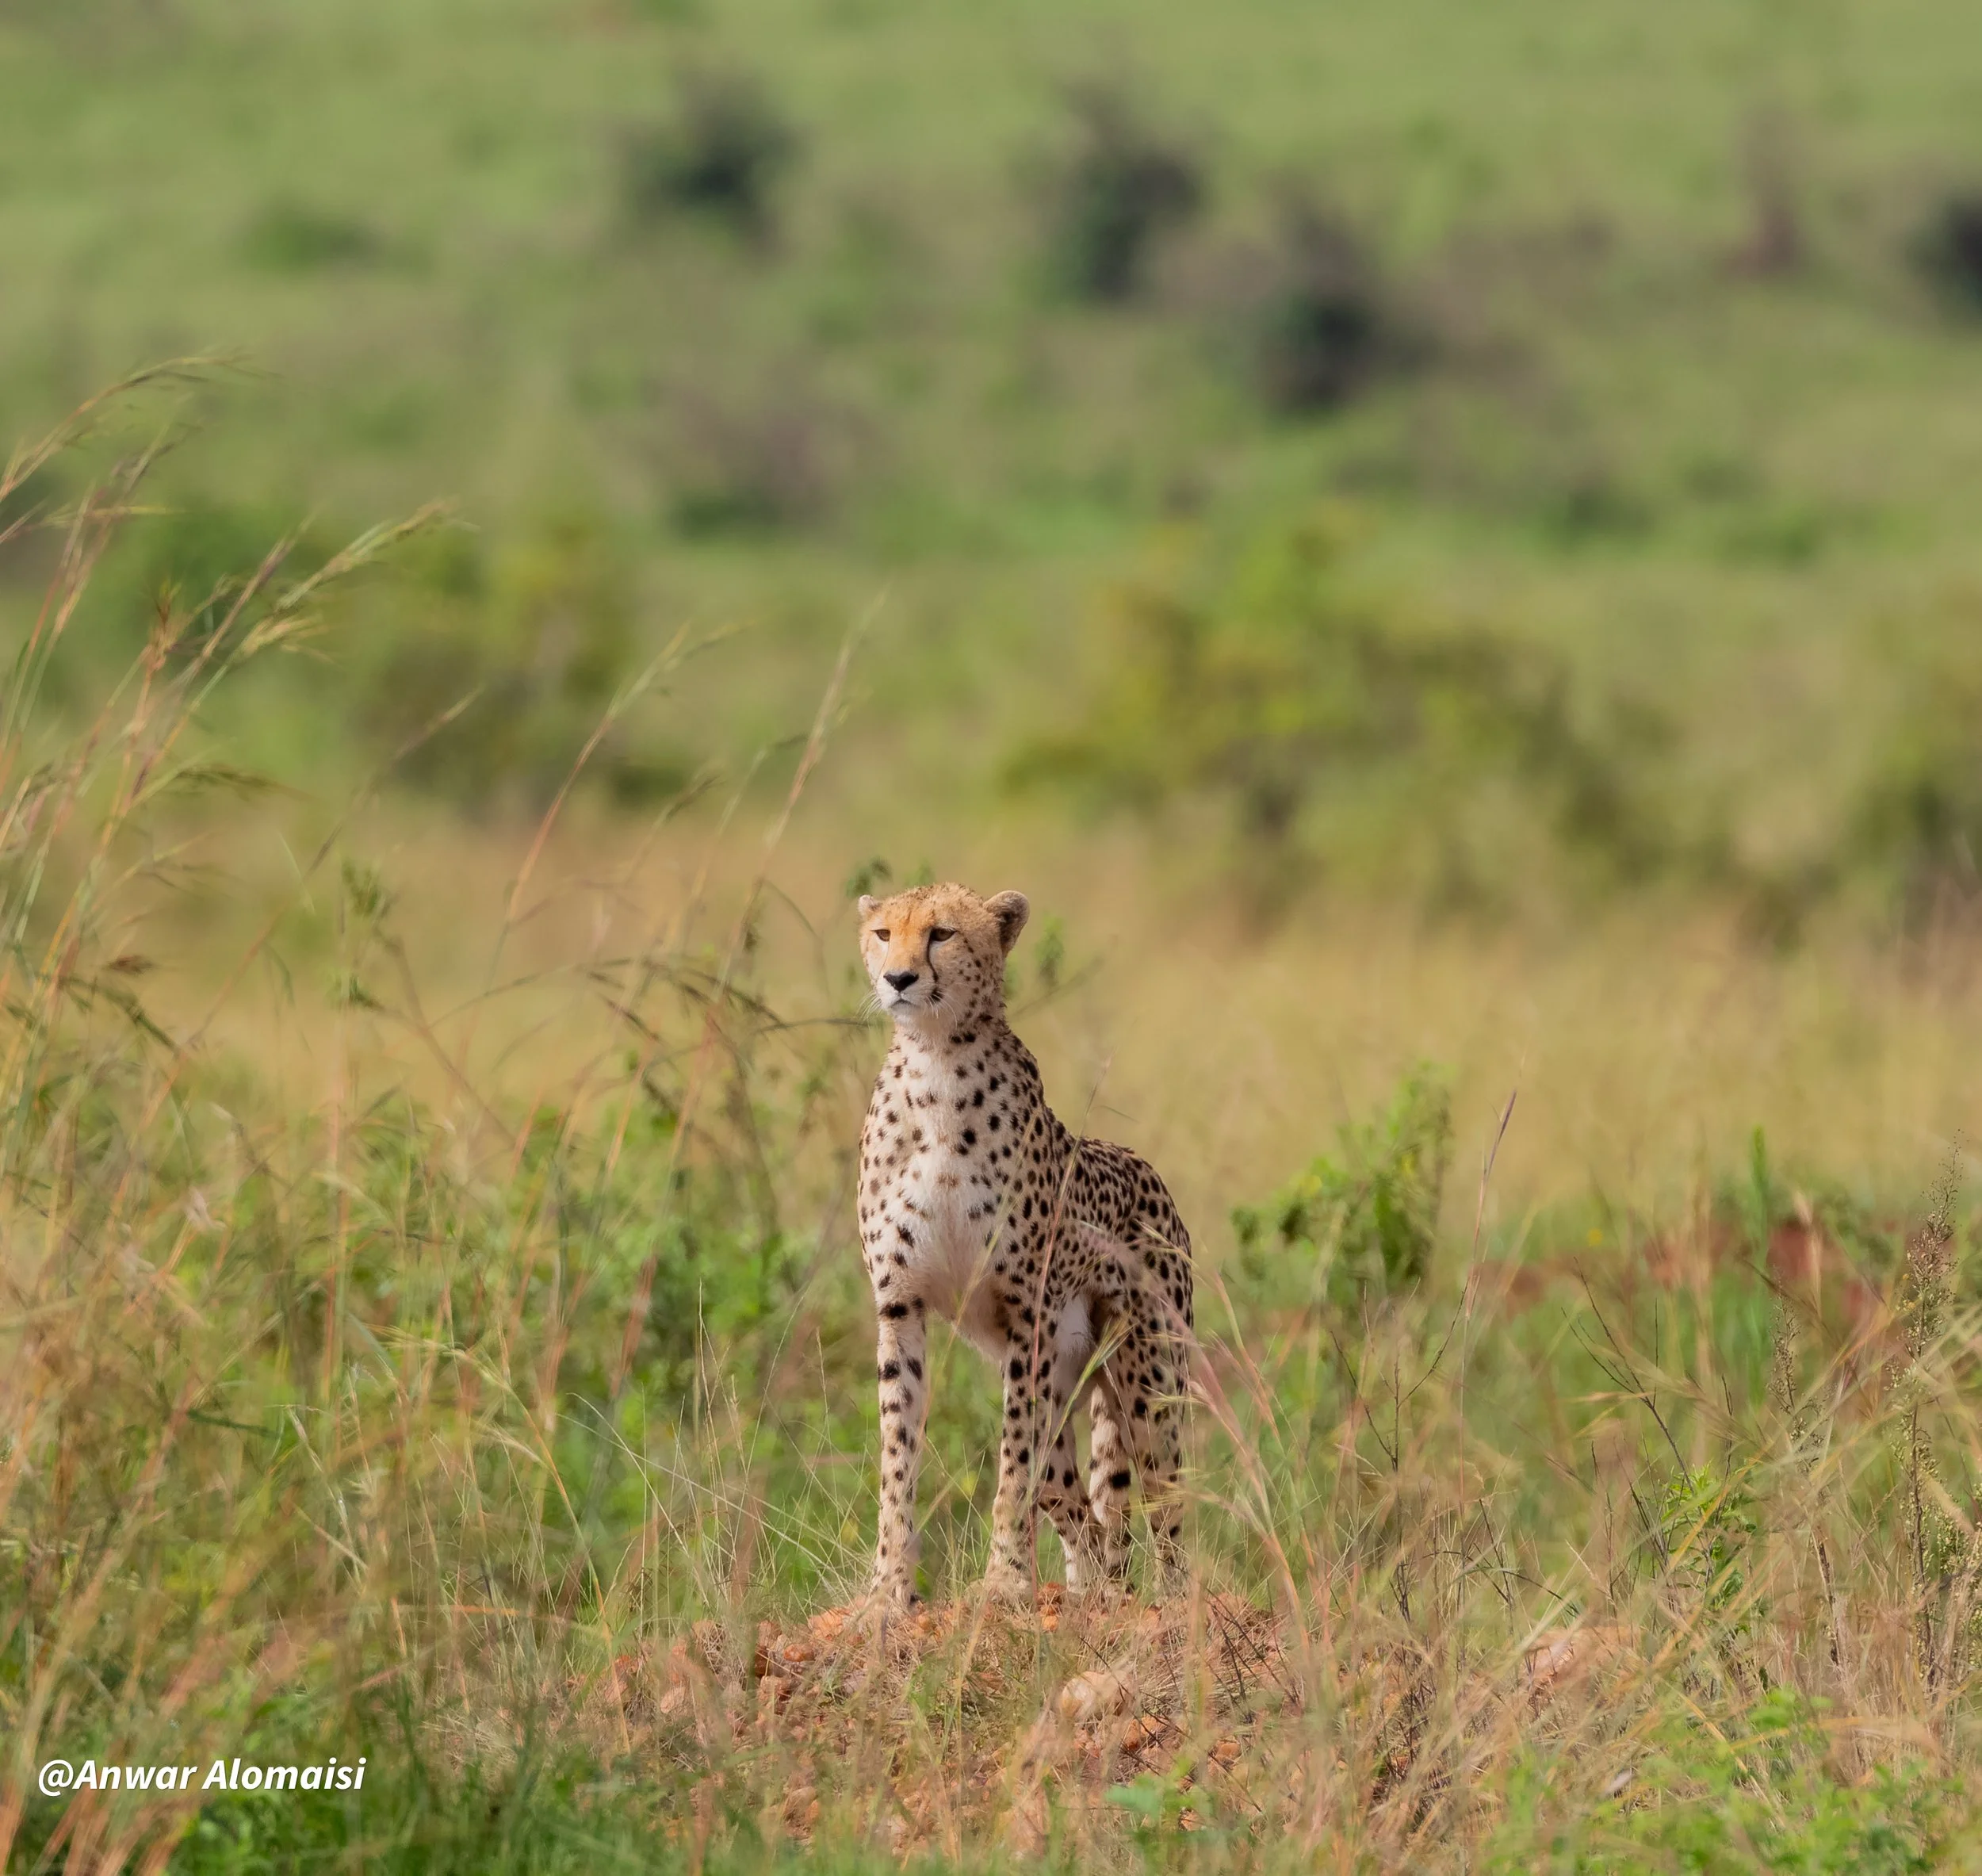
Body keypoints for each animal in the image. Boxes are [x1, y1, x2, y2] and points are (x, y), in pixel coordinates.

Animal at [853, 880, 1194, 1609]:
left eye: (942, 934)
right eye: (884, 934)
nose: (899, 979)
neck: (936, 1061)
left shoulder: (1027, 1310)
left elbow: (1012, 1466)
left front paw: (1005, 1580)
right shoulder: (900, 1305)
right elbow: (899, 1454)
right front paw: (888, 1587)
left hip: (1147, 1379)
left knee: (1163, 1503)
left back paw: (1174, 1608)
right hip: (1066, 1382)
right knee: (1081, 1505)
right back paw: (1091, 1594)